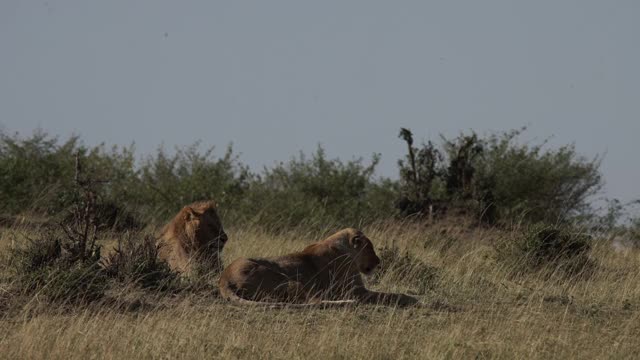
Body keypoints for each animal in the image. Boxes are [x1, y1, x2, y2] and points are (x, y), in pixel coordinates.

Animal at [219, 228, 420, 306]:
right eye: (370, 248)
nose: (378, 262)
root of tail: (224, 278)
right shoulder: (355, 291)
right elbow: (389, 295)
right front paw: (414, 298)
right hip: (291, 281)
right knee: (313, 301)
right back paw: (347, 303)